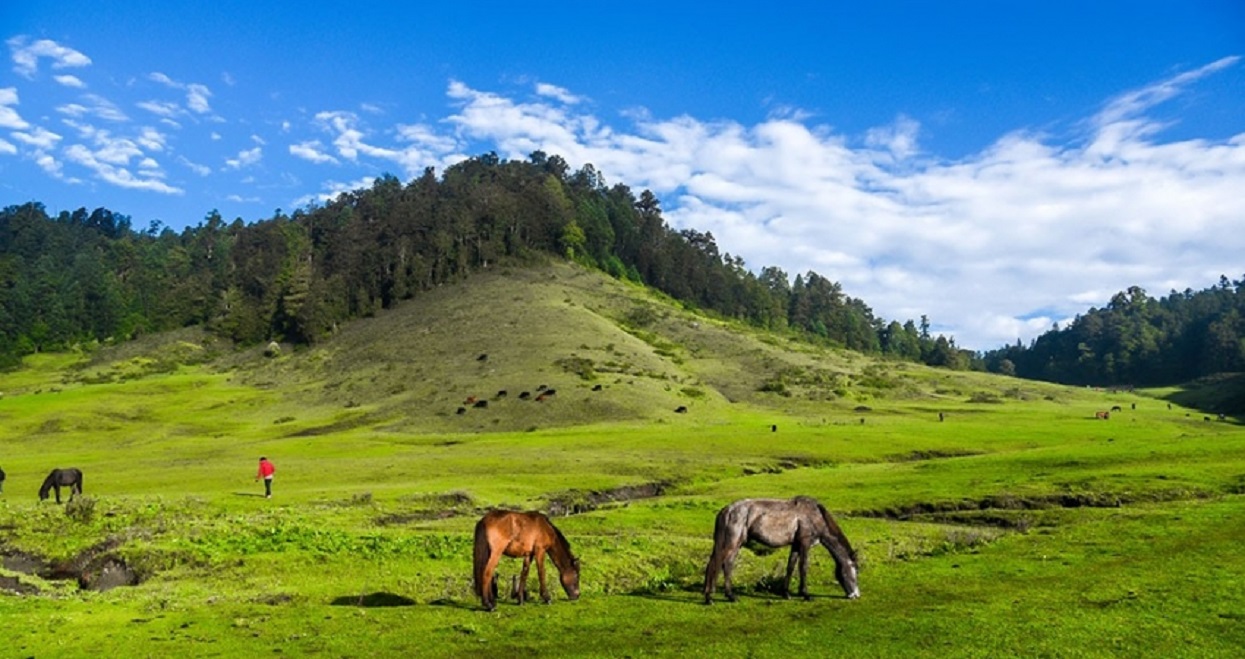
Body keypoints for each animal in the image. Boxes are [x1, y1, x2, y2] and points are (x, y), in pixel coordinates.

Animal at [707, 495, 861, 602]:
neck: (815, 516)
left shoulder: (796, 545)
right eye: (854, 569)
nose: (856, 595)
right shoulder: (805, 544)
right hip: (732, 543)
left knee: (726, 564)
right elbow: (803, 567)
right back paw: (710, 598)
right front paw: (805, 594)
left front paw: (786, 593)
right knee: (718, 563)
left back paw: (729, 596)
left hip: (737, 544)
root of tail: (727, 510)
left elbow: (790, 567)